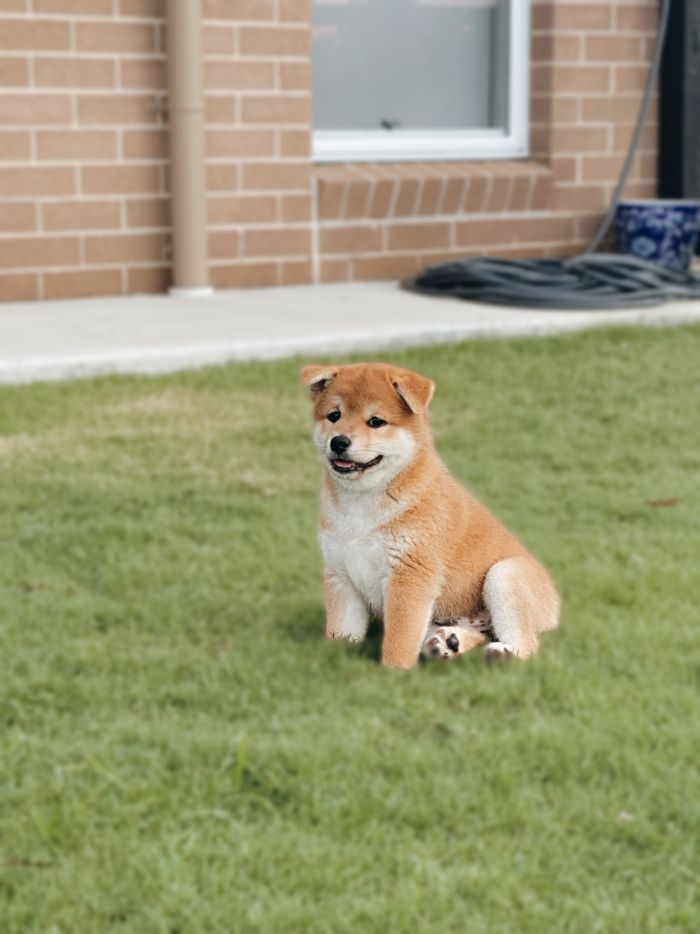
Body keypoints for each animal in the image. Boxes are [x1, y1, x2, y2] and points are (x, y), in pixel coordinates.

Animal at [300, 362, 556, 668]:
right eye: (334, 416)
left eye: (376, 422)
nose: (339, 442)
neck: (363, 506)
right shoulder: (340, 573)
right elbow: (342, 631)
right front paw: (334, 658)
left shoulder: (410, 575)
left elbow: (399, 638)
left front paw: (392, 671)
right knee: (477, 632)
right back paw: (447, 643)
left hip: (504, 575)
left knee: (526, 643)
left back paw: (500, 654)